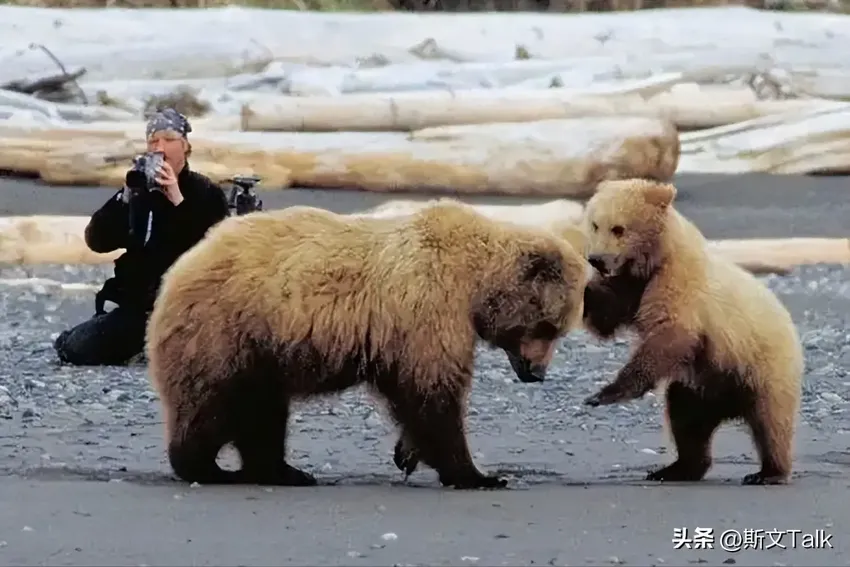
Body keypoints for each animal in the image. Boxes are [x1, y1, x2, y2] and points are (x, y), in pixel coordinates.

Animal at [144, 200, 588, 488]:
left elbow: (412, 394)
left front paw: (407, 453)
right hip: (228, 330)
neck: (474, 282)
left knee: (262, 412)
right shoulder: (427, 307)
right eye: (549, 327)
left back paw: (285, 472)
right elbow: (433, 391)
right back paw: (207, 467)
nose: (537, 373)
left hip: (261, 348)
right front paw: (478, 475)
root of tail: (180, 267)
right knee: (216, 403)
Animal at [576, 180, 800, 486]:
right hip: (700, 386)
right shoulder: (629, 287)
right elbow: (604, 318)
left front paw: (604, 393)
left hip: (761, 369)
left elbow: (670, 333)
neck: (654, 258)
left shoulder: (678, 284)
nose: (596, 259)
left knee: (771, 422)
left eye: (618, 228)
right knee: (686, 420)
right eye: (595, 224)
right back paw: (674, 469)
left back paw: (768, 472)